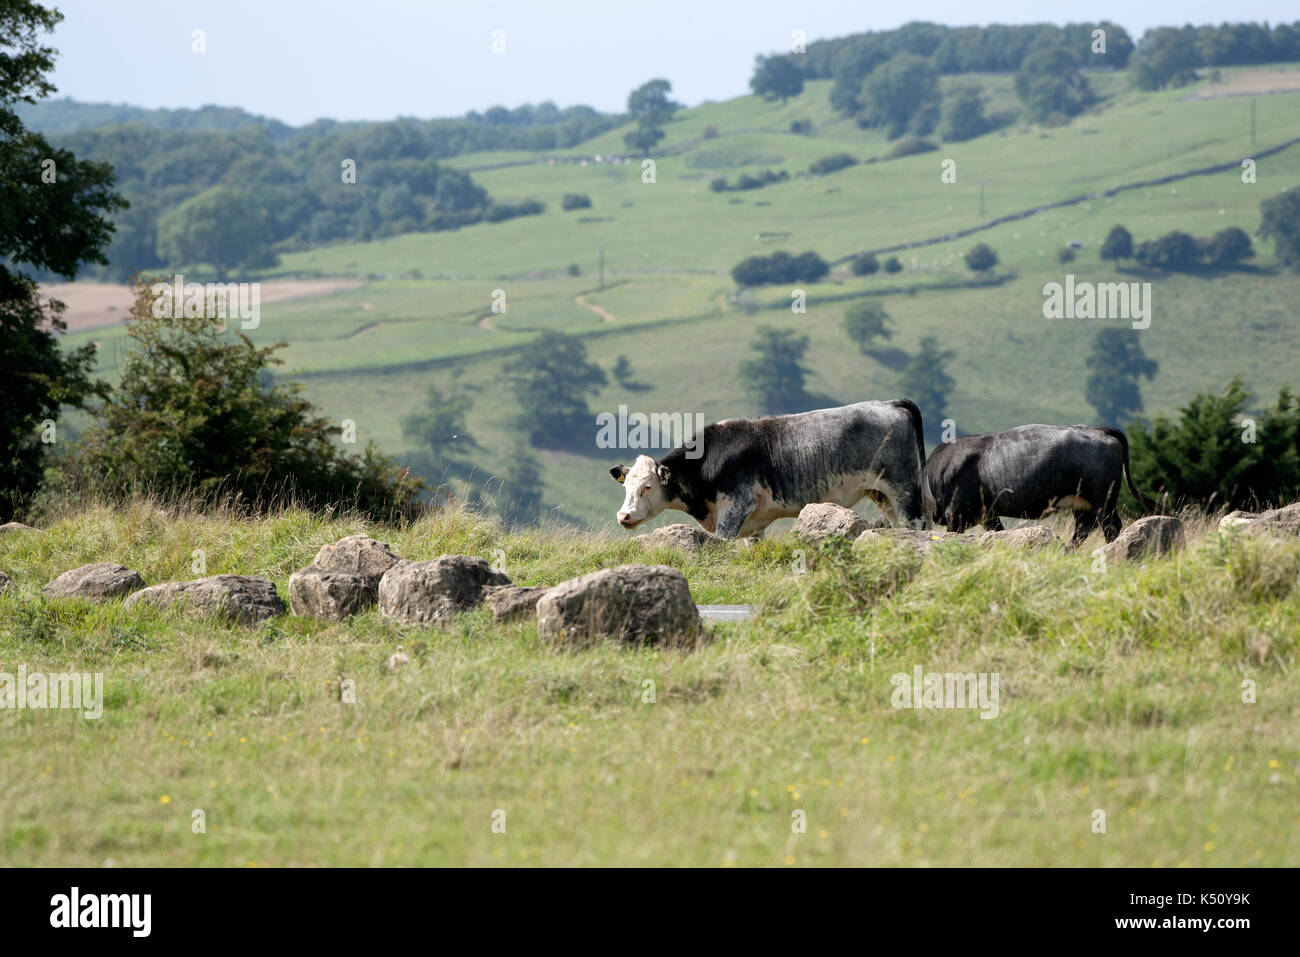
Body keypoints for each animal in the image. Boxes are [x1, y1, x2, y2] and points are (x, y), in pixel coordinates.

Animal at [611, 397, 935, 538]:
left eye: (647, 487)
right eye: (626, 488)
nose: (623, 516)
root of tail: (889, 404)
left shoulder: (734, 507)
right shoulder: (753, 524)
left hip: (905, 490)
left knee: (917, 523)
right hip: (882, 494)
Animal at [925, 421, 1159, 540]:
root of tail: (1098, 429)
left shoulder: (956, 513)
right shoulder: (988, 514)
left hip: (1103, 499)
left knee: (1110, 525)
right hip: (1083, 504)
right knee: (1084, 529)